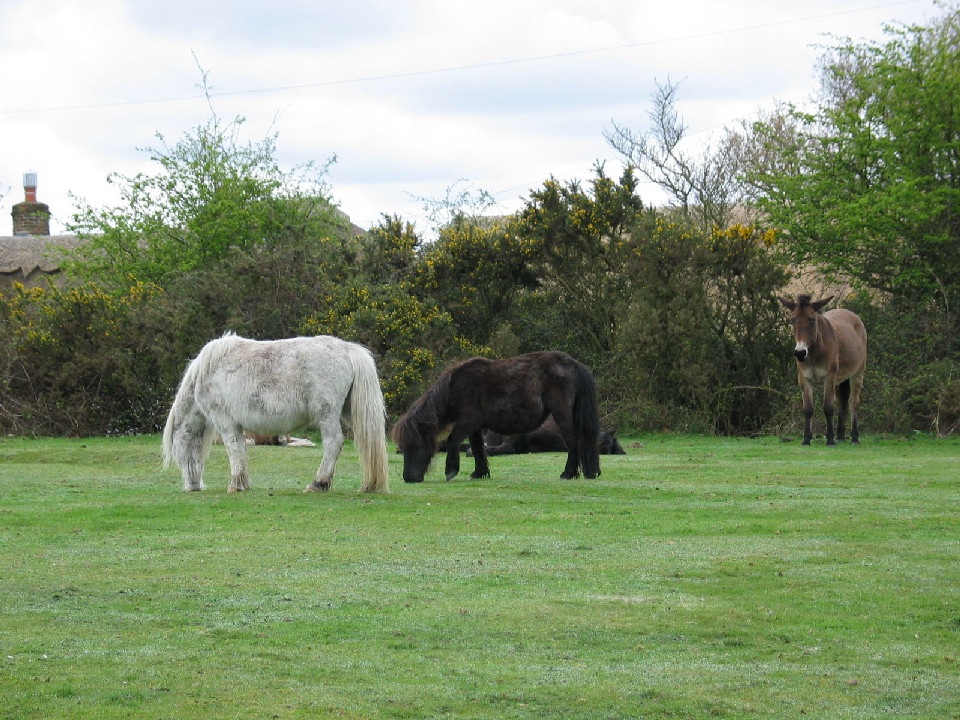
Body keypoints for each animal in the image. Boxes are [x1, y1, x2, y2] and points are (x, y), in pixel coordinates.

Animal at [162, 332, 389, 493]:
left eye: (178, 452)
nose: (193, 486)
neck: (207, 371)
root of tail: (346, 349)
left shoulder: (225, 422)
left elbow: (233, 449)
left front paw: (235, 485)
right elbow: (241, 449)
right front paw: (243, 483)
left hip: (327, 414)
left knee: (333, 442)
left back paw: (318, 483)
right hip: (348, 413)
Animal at [391, 351, 601, 483]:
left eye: (416, 445)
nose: (408, 478)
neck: (456, 387)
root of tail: (573, 364)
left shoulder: (467, 422)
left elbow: (452, 441)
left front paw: (451, 470)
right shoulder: (474, 427)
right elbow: (477, 448)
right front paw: (480, 472)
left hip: (561, 414)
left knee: (573, 442)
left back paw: (568, 473)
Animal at [779, 295, 868, 445]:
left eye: (812, 320)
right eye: (793, 321)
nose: (800, 353)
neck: (814, 353)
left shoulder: (829, 378)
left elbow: (828, 408)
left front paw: (830, 439)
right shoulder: (804, 378)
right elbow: (808, 409)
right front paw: (806, 439)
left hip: (857, 374)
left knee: (853, 403)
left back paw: (854, 437)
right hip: (839, 380)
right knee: (842, 403)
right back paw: (840, 436)